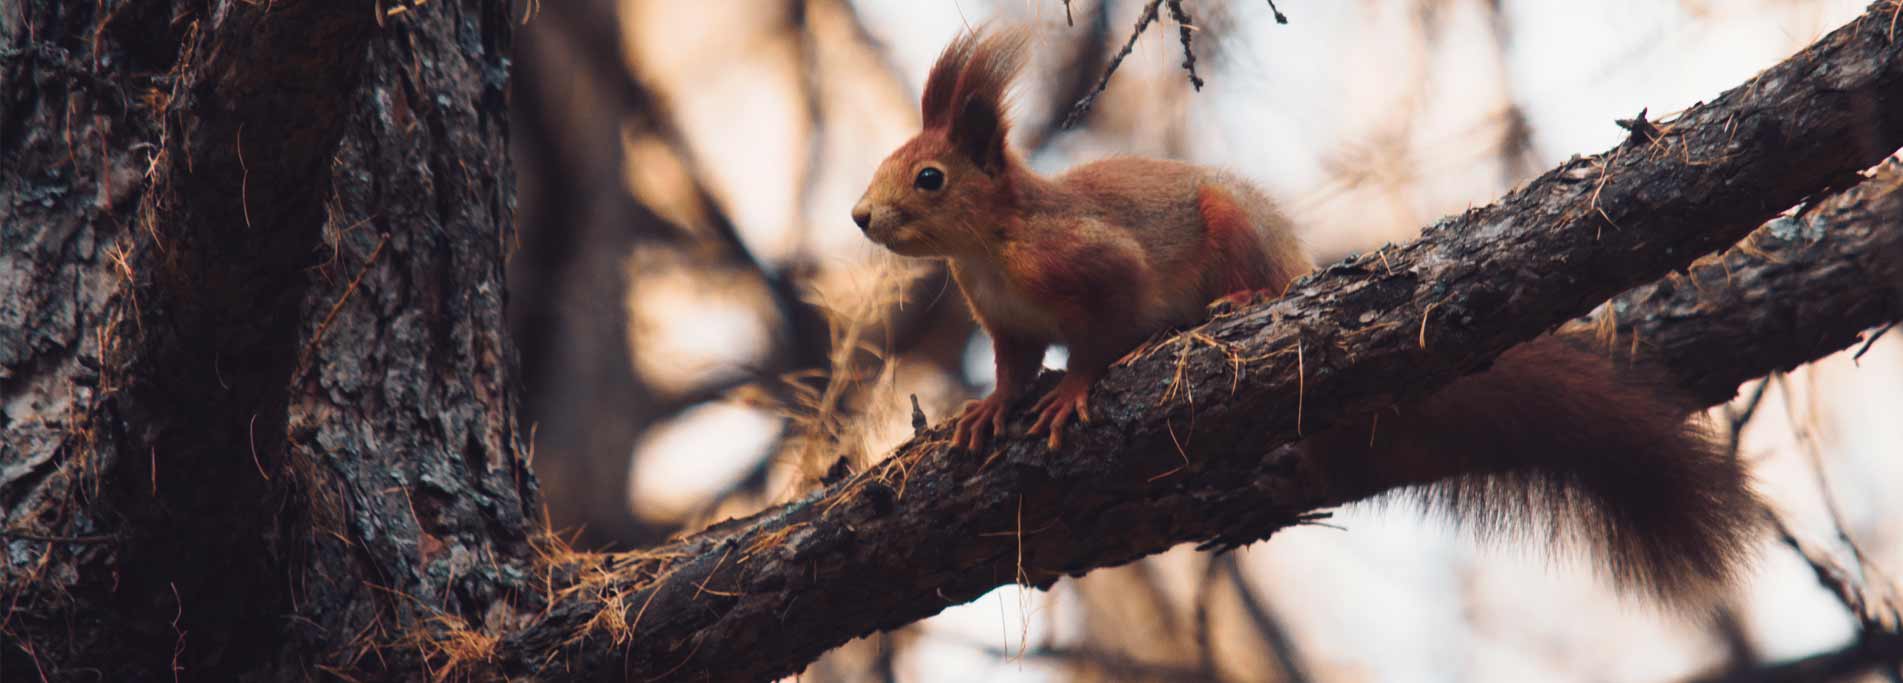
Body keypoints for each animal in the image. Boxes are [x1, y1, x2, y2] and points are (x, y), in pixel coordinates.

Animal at [856, 26, 1758, 612]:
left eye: (930, 177)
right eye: (887, 163)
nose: (862, 216)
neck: (984, 248)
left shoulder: (1093, 262)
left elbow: (1099, 334)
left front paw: (1070, 390)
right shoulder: (1004, 321)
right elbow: (1012, 364)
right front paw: (987, 410)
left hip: (1233, 230)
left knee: (1242, 278)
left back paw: (1243, 302)